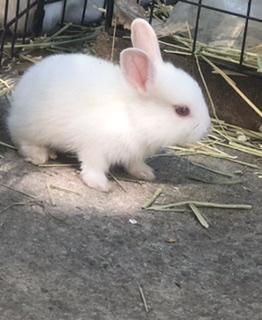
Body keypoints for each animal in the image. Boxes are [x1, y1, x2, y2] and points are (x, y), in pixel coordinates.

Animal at [7, 18, 210, 191]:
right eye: (182, 110)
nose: (206, 128)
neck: (133, 115)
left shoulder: (134, 155)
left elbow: (134, 164)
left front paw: (146, 173)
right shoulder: (95, 148)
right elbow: (93, 166)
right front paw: (100, 185)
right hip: (31, 129)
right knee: (23, 141)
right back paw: (40, 156)